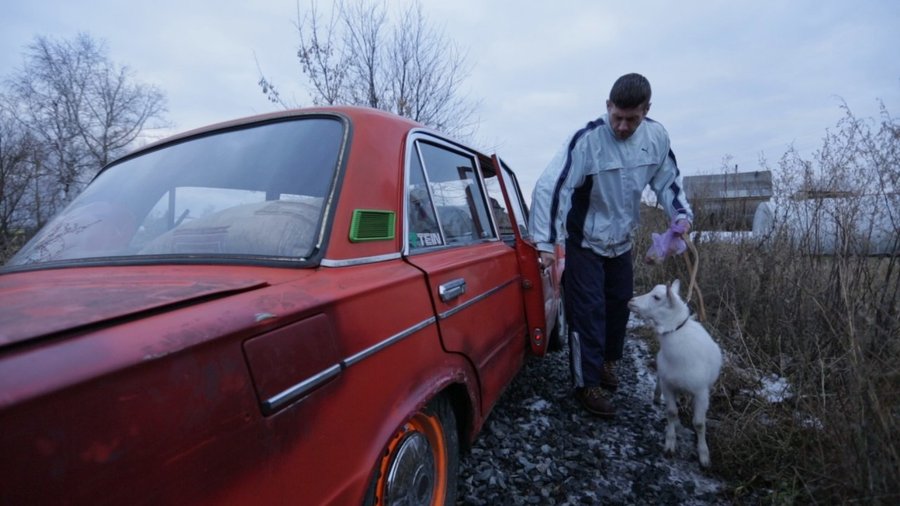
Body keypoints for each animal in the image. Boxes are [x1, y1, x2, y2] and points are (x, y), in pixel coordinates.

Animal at [628, 278, 720, 468]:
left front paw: (704, 455)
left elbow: (699, 424)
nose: (630, 301)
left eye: (657, 297)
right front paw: (670, 444)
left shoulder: (701, 392)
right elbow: (671, 412)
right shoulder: (668, 384)